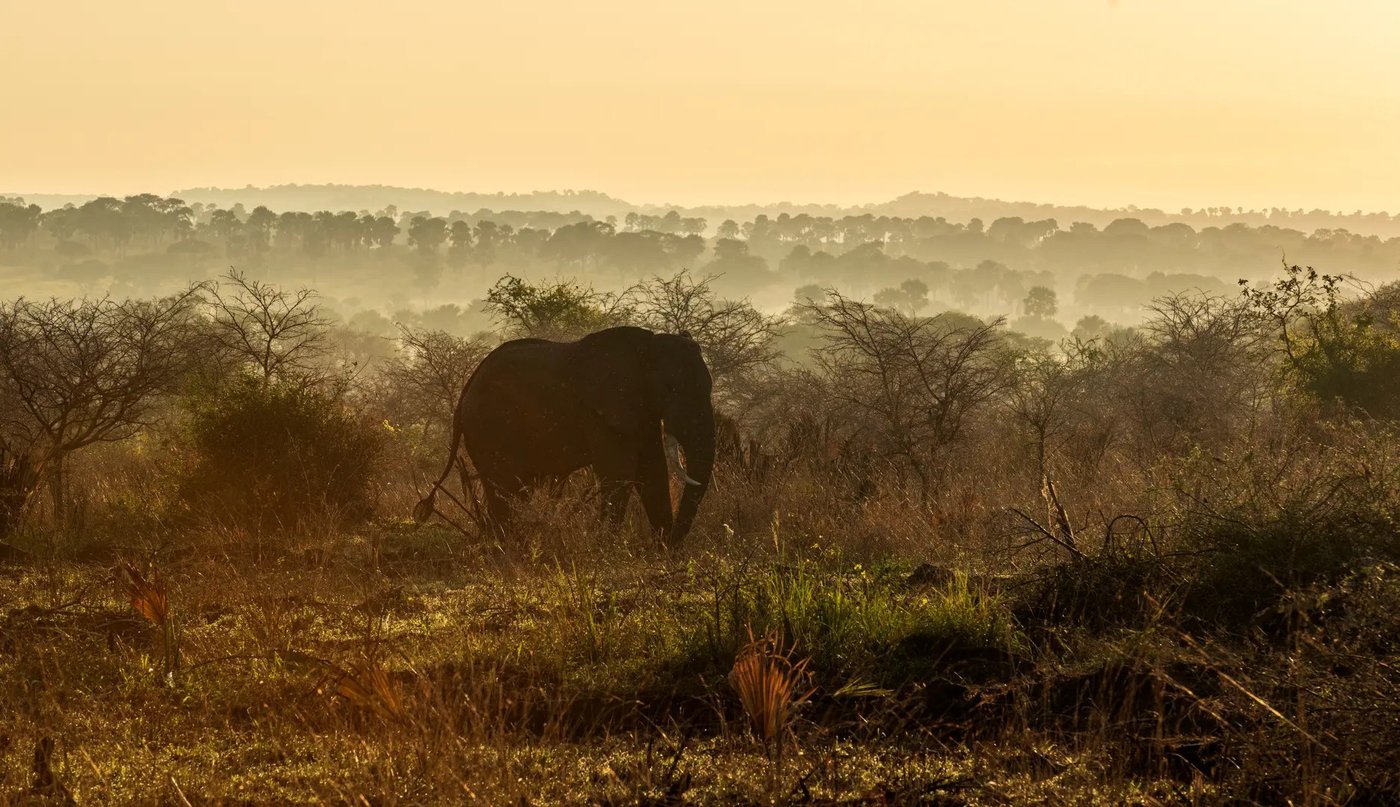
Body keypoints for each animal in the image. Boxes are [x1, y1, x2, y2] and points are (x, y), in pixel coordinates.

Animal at [414, 326, 716, 544]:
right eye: (670, 389)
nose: (673, 542)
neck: (646, 347)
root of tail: (466, 390)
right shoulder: (601, 411)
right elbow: (619, 473)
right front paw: (606, 548)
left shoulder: (640, 411)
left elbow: (652, 470)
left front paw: (662, 551)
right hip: (489, 426)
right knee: (504, 488)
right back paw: (507, 548)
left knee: (515, 489)